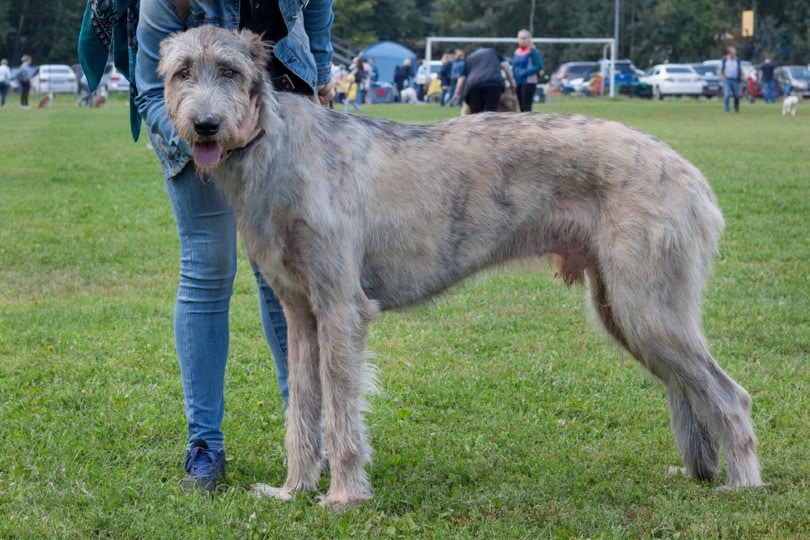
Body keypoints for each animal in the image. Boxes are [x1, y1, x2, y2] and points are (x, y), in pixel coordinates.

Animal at [159, 26, 764, 510]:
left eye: (232, 71)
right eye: (181, 71)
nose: (206, 125)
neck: (277, 147)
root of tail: (691, 175)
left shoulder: (341, 309)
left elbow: (341, 413)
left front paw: (343, 496)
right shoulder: (301, 314)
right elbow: (303, 410)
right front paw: (293, 490)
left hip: (648, 306)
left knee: (730, 395)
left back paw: (744, 483)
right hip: (624, 309)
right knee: (690, 388)